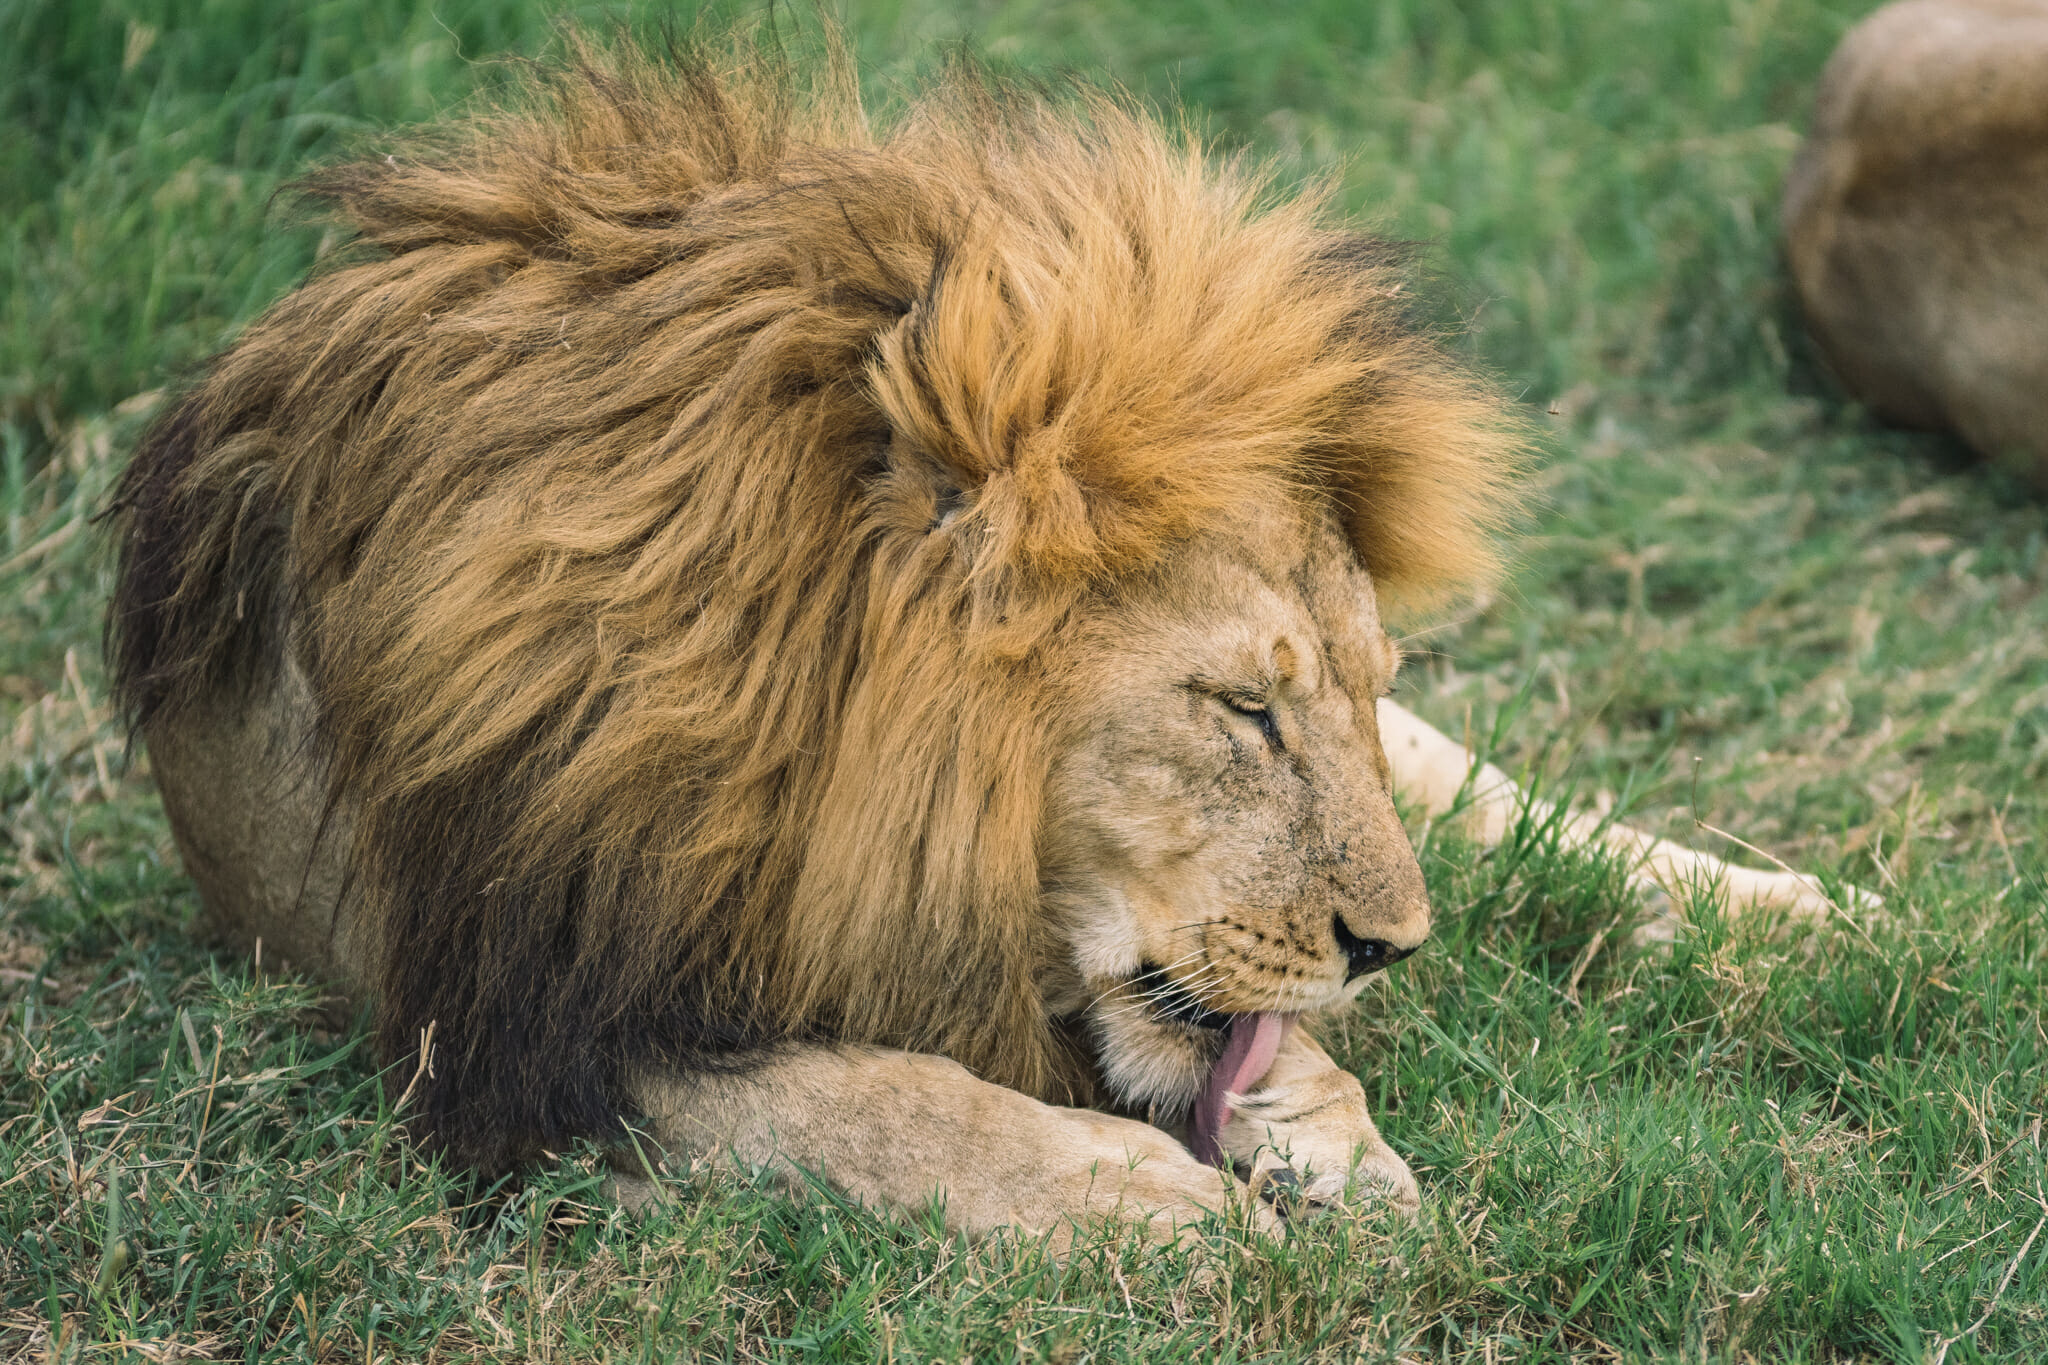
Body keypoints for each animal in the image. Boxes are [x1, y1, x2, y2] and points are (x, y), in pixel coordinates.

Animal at [109, 35, 1841, 1242]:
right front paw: (1141, 1197)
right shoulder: (523, 1020)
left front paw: (1322, 1129)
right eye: (1239, 709)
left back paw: (1797, 909)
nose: (1395, 952)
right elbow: (877, 1105)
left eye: (1332, 696)